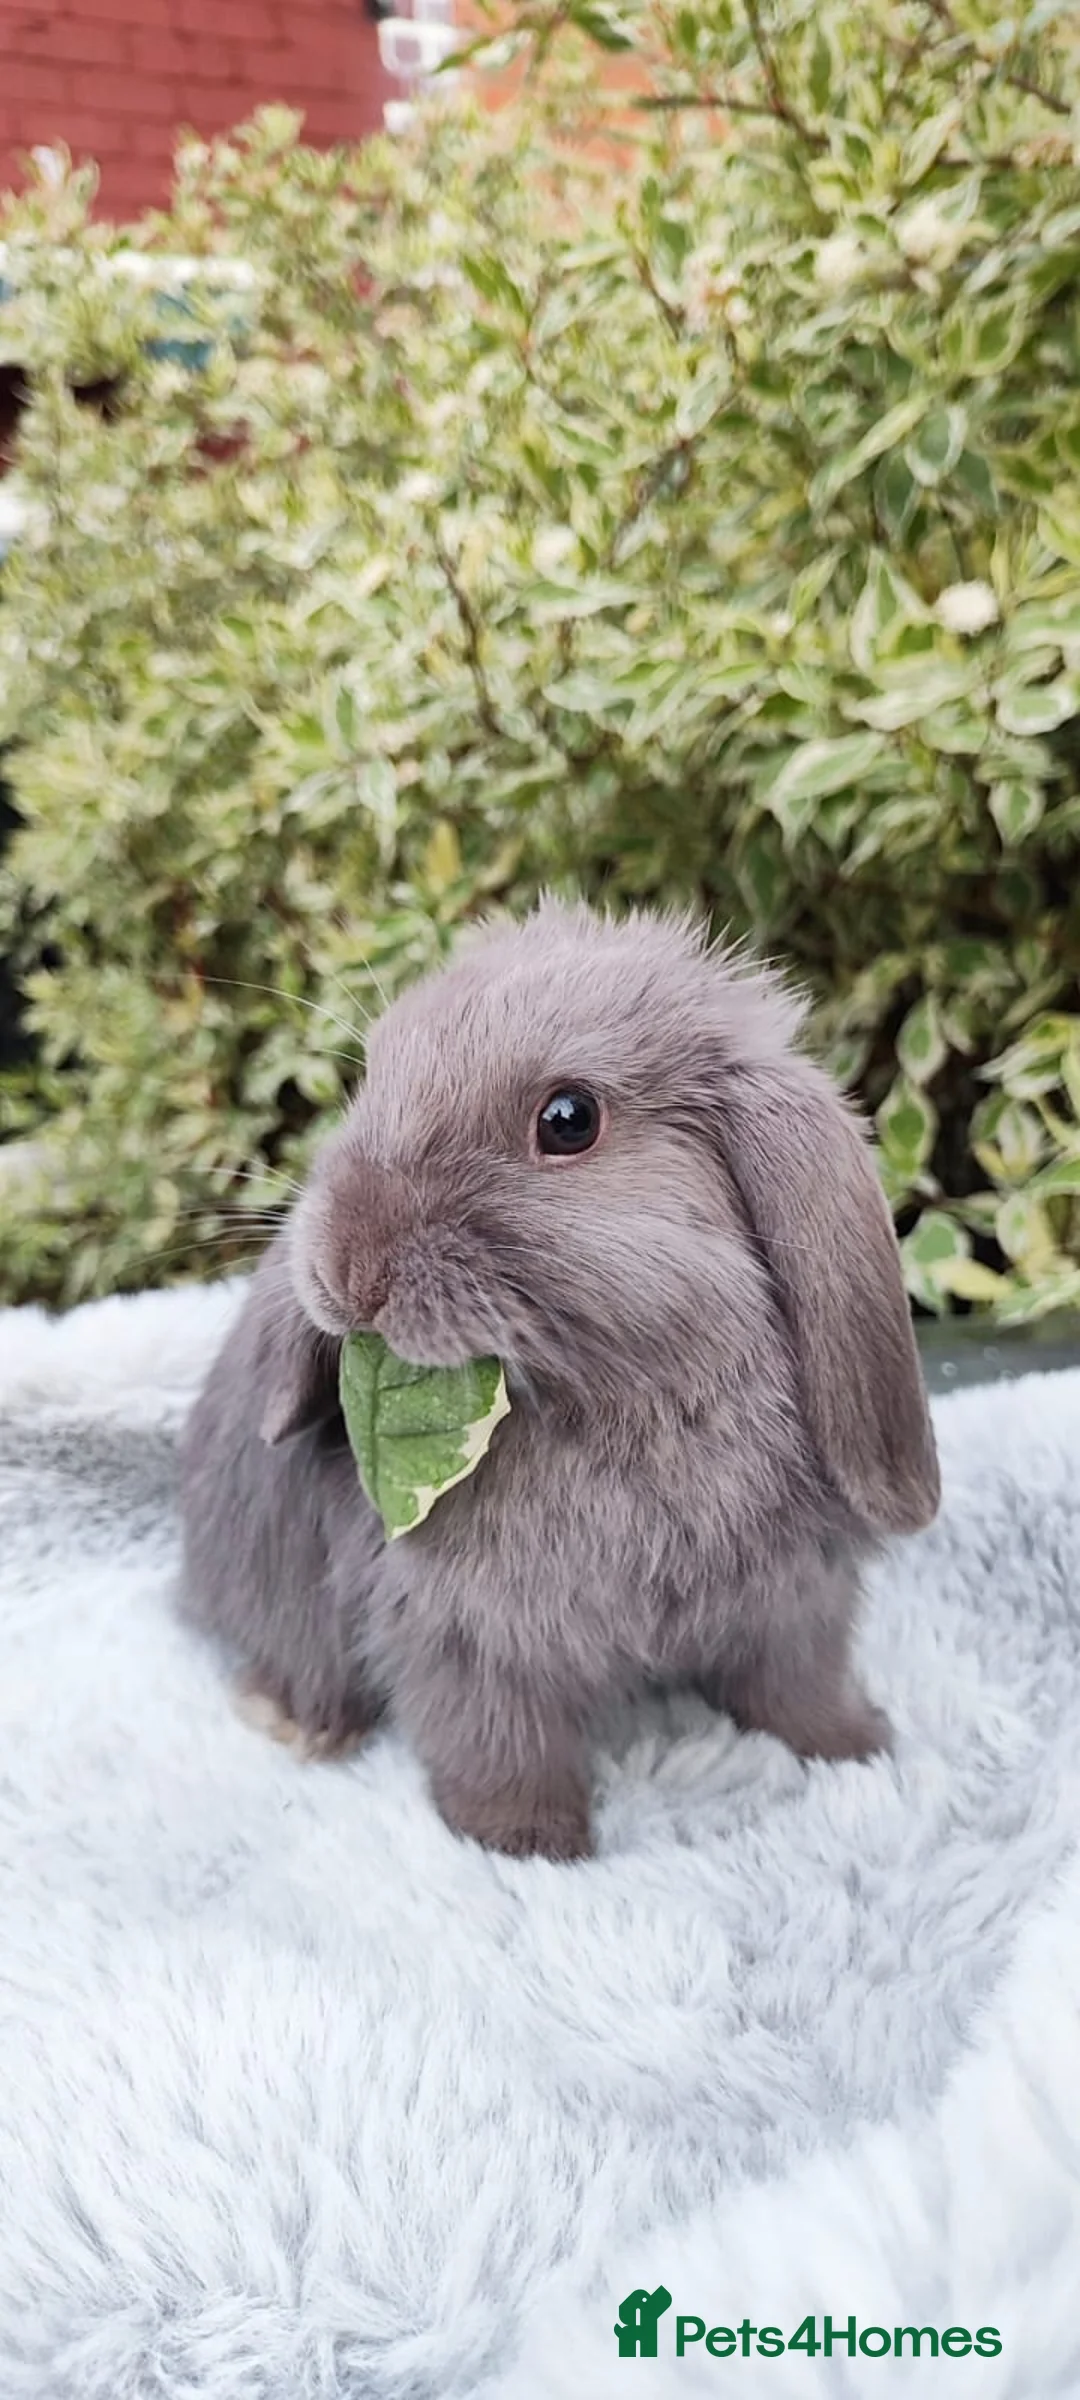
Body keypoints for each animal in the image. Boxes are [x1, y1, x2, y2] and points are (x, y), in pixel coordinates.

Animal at [179, 899, 940, 1860]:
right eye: (372, 1079)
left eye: (569, 1119)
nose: (347, 1273)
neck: (623, 1402)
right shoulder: (466, 1641)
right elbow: (499, 1745)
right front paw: (531, 1846)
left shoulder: (796, 1605)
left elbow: (797, 1689)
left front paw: (858, 1747)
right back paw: (298, 1722)